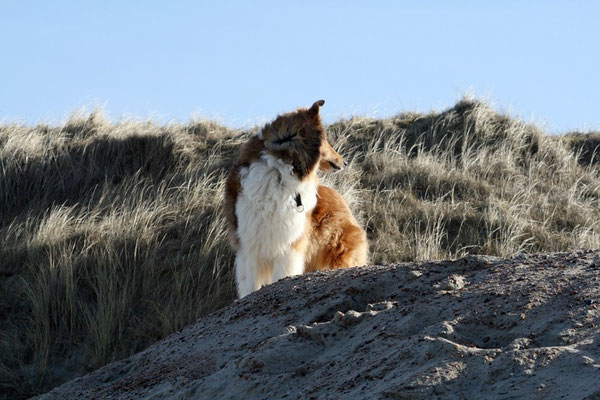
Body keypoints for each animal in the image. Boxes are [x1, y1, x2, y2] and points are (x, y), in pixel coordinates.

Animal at [224, 100, 368, 296]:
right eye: (325, 140)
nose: (344, 162)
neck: (279, 171)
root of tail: (340, 197)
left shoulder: (289, 244)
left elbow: (282, 274)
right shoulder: (250, 245)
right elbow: (251, 285)